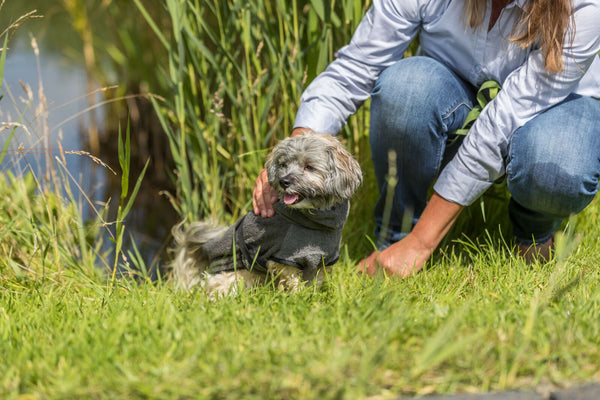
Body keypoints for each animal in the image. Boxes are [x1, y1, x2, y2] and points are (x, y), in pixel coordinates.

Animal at [170, 133, 366, 298]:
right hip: (235, 276)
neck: (315, 218)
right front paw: (299, 298)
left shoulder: (322, 260)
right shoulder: (285, 259)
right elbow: (293, 280)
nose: (284, 181)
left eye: (309, 167)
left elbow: (314, 281)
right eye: (283, 165)